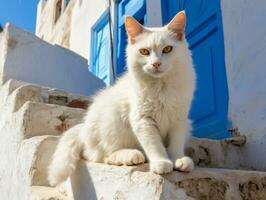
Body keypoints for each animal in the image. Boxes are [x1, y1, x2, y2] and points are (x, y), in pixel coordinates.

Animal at [48, 10, 196, 186]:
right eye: (144, 52)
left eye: (167, 49)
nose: (156, 64)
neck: (162, 87)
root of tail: (83, 128)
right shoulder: (142, 120)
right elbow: (154, 144)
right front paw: (161, 162)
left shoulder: (179, 120)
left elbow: (176, 143)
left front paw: (177, 160)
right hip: (112, 124)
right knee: (102, 156)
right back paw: (131, 155)